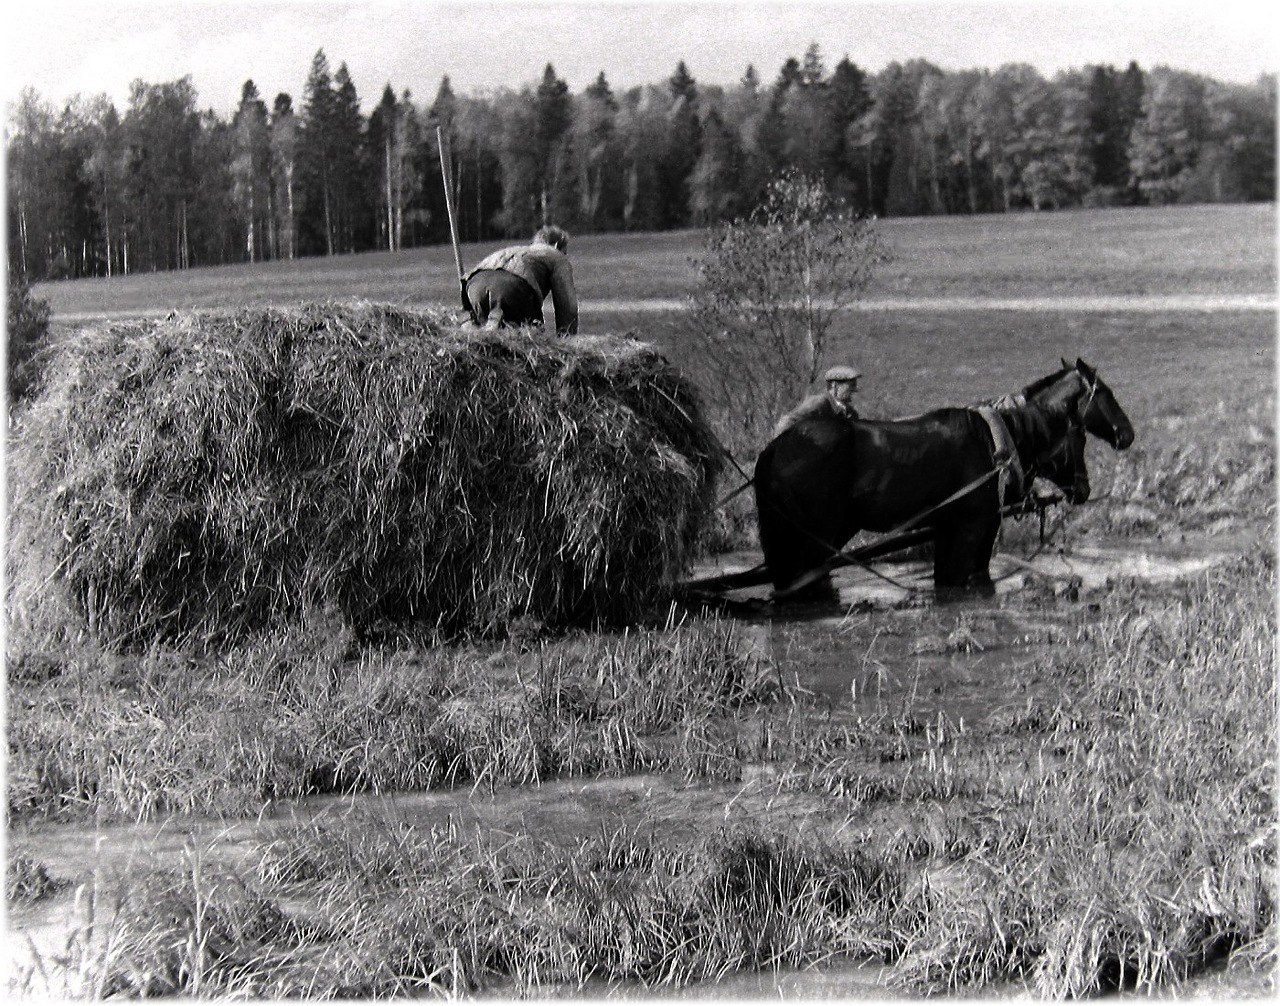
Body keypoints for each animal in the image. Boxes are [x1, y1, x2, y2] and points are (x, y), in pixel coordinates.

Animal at [752, 358, 1136, 598]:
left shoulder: (949, 528)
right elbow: (967, 577)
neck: (997, 440)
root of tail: (774, 448)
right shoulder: (973, 526)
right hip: (813, 538)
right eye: (1105, 393)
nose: (1127, 434)